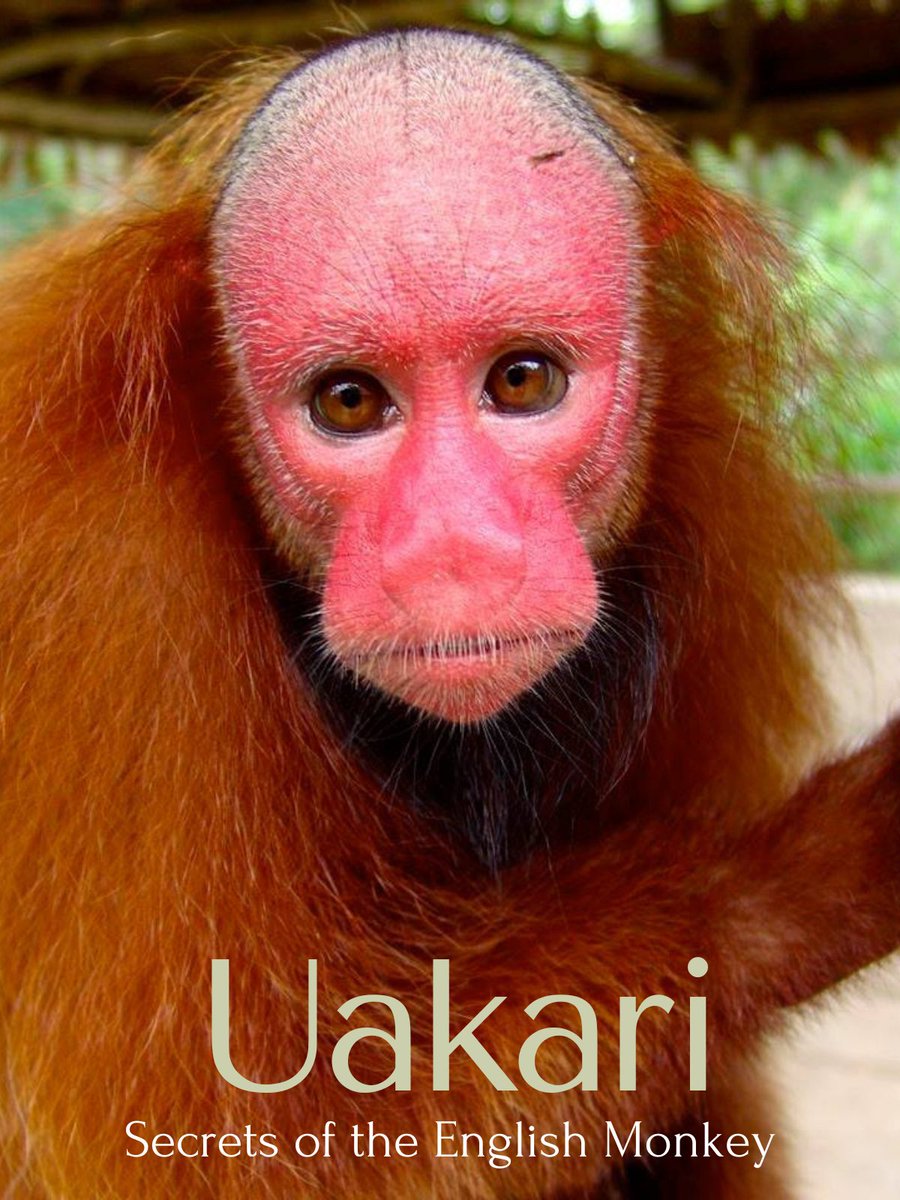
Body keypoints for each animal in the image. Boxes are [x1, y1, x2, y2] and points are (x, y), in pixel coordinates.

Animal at [0, 25, 898, 1200]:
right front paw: (802, 881)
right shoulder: (99, 593)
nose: (450, 548)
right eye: (348, 402)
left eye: (522, 381)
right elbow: (244, 1136)